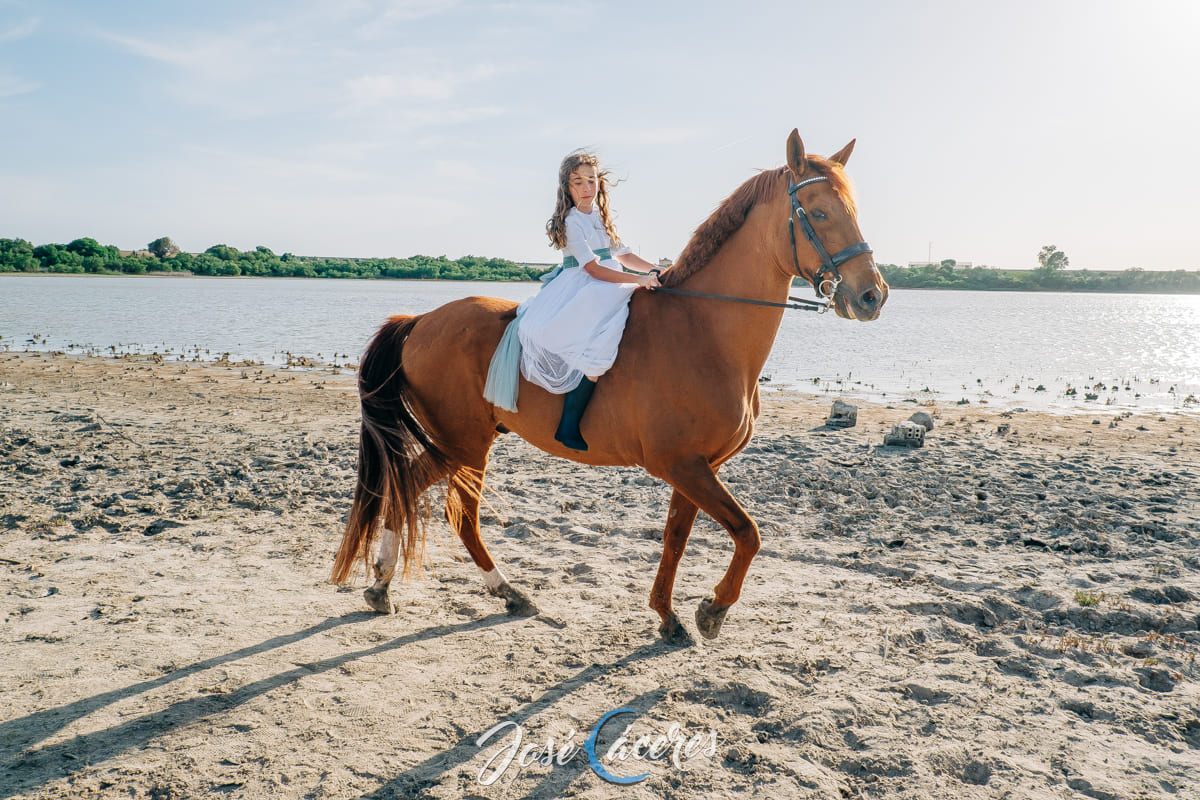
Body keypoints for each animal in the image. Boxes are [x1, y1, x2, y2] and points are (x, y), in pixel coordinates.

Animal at [333, 130, 888, 642]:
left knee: (419, 492)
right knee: (443, 505)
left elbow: (676, 537)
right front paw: (712, 611)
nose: (872, 296)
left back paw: (417, 587)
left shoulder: (697, 467)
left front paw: (667, 616)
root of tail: (421, 319)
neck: (703, 328)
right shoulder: (682, 465)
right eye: (818, 213)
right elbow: (748, 534)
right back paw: (471, 589)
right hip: (463, 442)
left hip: (466, 441)